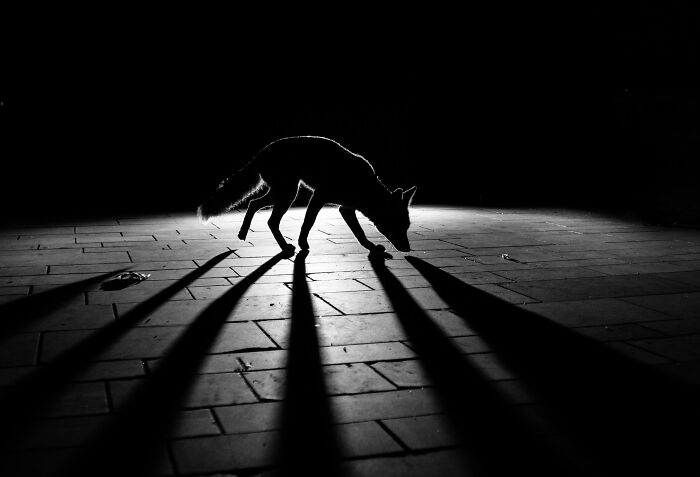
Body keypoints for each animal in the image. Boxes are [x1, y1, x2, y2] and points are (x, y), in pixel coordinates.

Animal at [197, 136, 417, 255]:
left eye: (406, 227)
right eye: (397, 226)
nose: (408, 249)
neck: (364, 186)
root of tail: (262, 151)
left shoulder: (345, 208)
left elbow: (359, 233)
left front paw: (371, 248)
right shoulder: (319, 197)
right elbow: (307, 223)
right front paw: (303, 244)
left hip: (281, 194)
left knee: (252, 204)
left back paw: (243, 233)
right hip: (288, 194)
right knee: (270, 220)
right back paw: (284, 247)